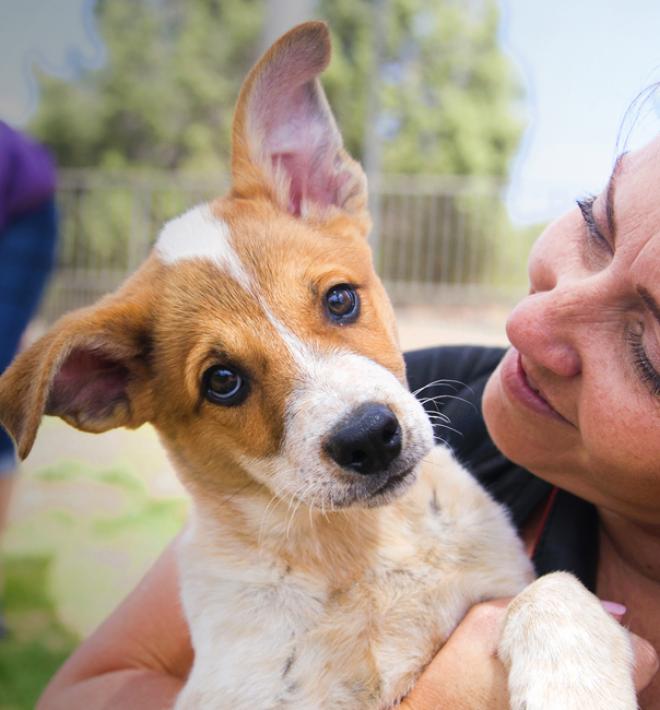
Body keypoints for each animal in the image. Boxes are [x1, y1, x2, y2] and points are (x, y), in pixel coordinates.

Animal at [1, 22, 640, 710]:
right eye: (222, 382)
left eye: (340, 299)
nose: (370, 438)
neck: (361, 548)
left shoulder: (500, 580)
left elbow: (552, 586)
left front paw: (575, 678)